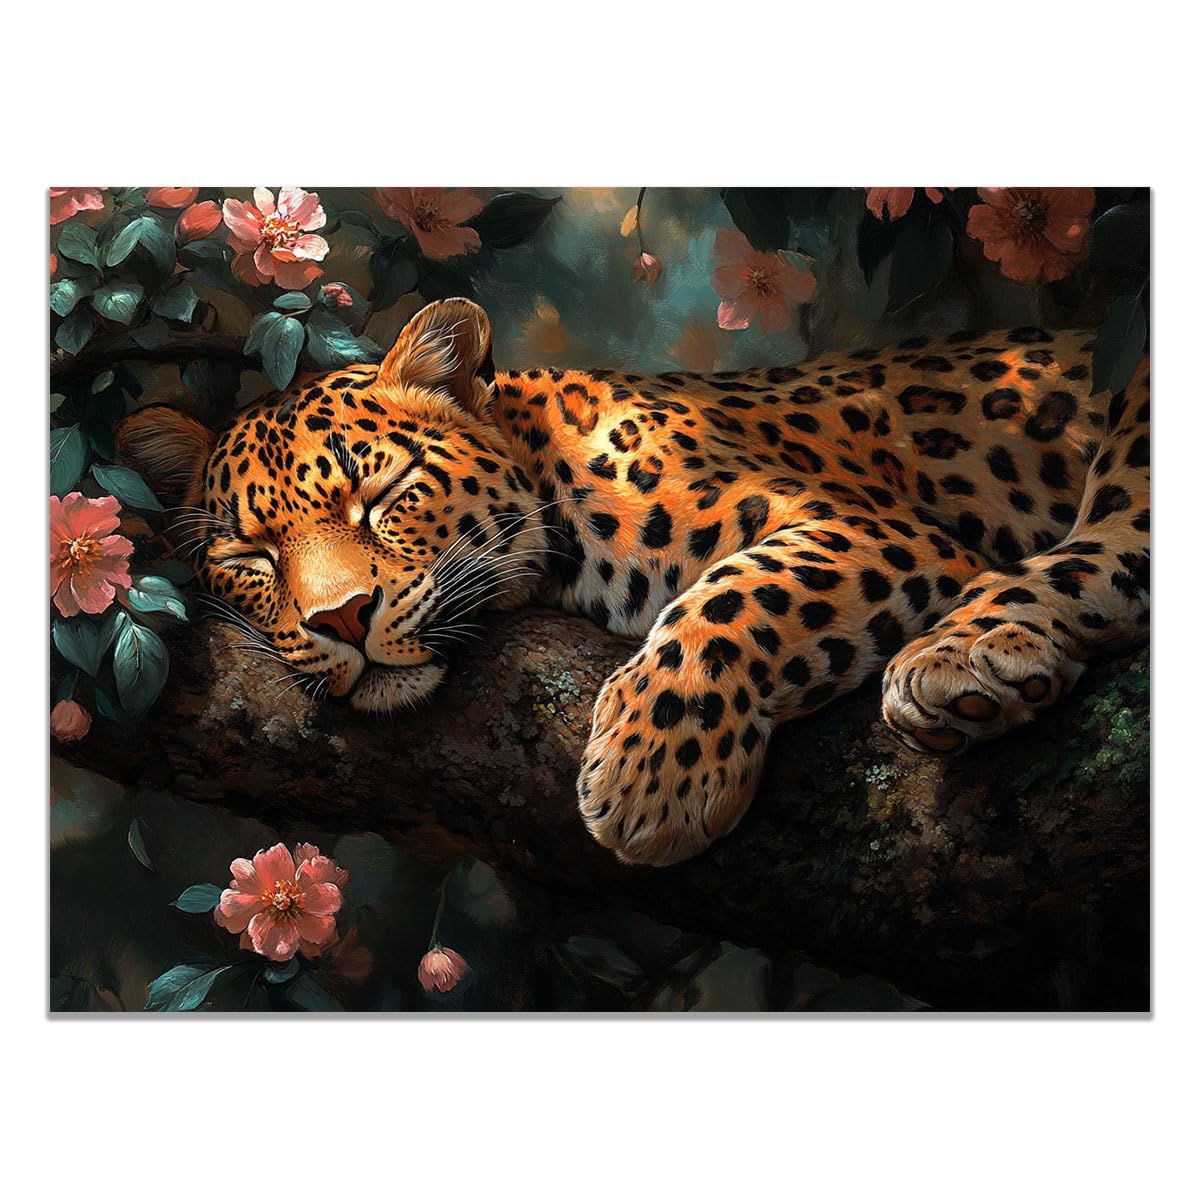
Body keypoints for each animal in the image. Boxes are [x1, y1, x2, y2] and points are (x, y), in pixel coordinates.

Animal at [117, 298, 1150, 867]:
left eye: (381, 496)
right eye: (253, 557)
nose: (343, 616)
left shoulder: (872, 526)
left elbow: (742, 594)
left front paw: (659, 774)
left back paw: (965, 660)